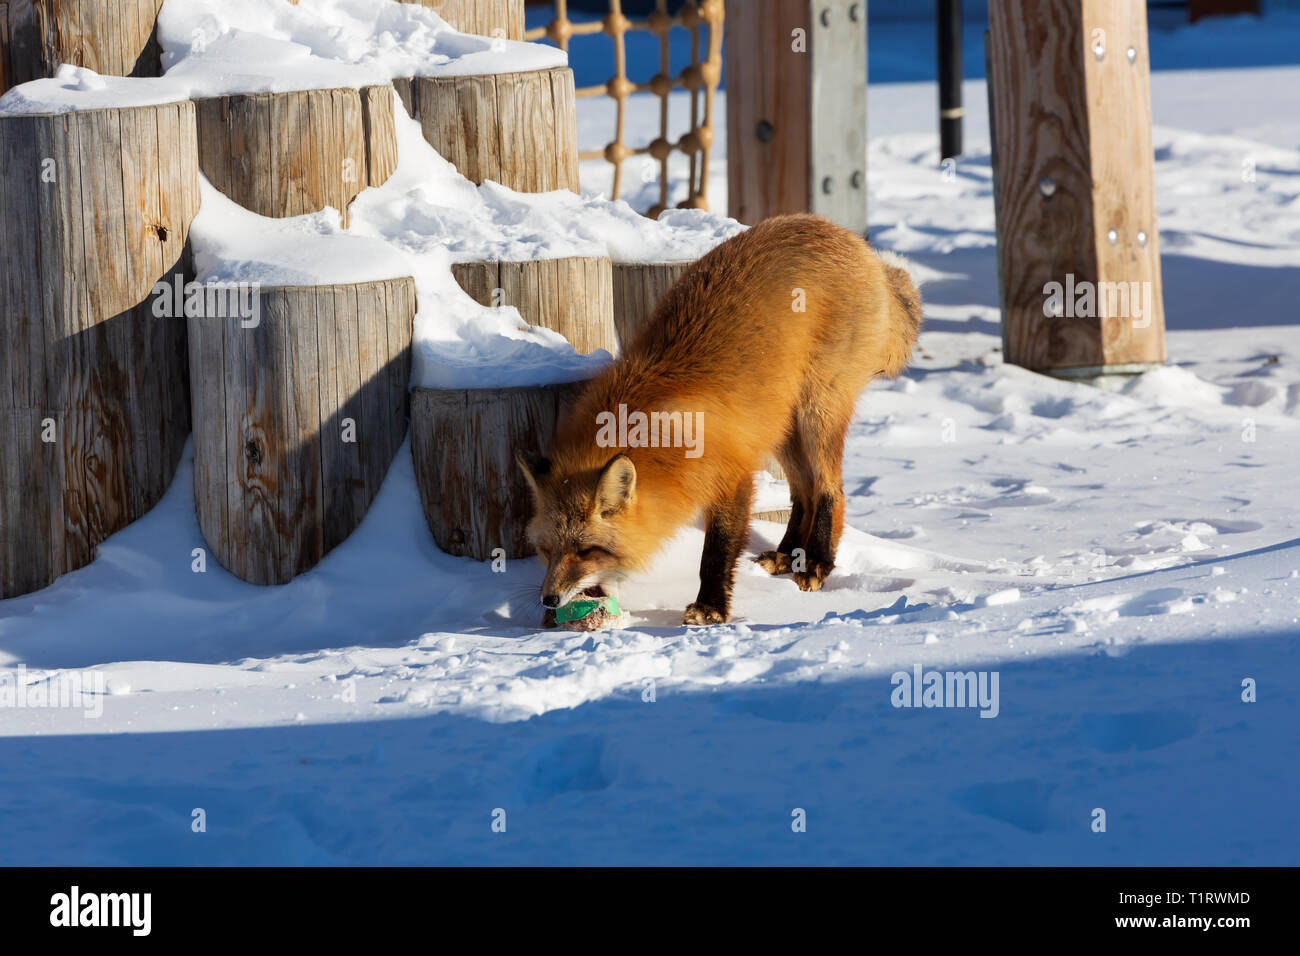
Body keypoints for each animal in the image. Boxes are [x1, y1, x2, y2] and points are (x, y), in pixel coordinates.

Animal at [517, 213, 922, 627]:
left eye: (586, 550)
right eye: (546, 549)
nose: (548, 599)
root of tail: (847, 236)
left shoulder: (732, 475)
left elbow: (717, 550)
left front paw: (710, 607)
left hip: (817, 412)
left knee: (830, 490)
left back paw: (816, 563)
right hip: (781, 425)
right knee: (804, 492)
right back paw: (789, 555)